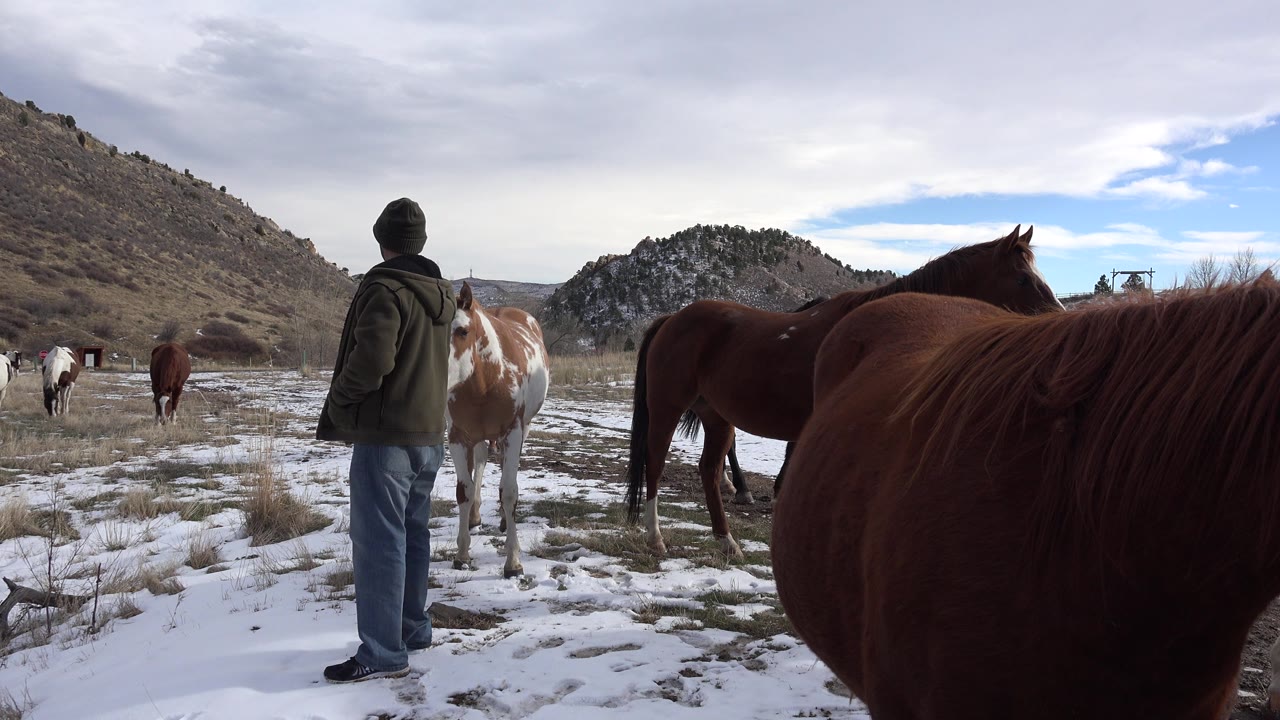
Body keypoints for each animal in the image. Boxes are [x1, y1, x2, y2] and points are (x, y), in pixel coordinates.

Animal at [447, 281, 549, 579]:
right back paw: (474, 517)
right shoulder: (457, 437)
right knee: (480, 463)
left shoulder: (513, 432)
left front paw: (513, 562)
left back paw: (504, 520)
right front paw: (461, 554)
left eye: (462, 330)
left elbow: (510, 491)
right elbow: (463, 490)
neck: (486, 379)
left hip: (522, 429)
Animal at [626, 225, 1061, 559]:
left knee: (709, 471)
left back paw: (727, 542)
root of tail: (673, 318)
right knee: (655, 464)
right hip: (667, 408)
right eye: (1023, 278)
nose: (1058, 319)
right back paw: (656, 538)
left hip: (718, 417)